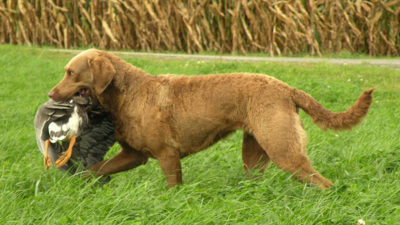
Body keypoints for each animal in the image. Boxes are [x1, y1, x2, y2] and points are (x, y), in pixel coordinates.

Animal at [48, 50, 374, 189]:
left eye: (71, 72)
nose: (50, 93)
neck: (128, 93)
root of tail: (286, 88)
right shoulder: (134, 155)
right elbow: (95, 169)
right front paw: (76, 184)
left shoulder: (167, 155)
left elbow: (173, 187)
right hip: (254, 152)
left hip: (283, 149)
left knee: (323, 182)